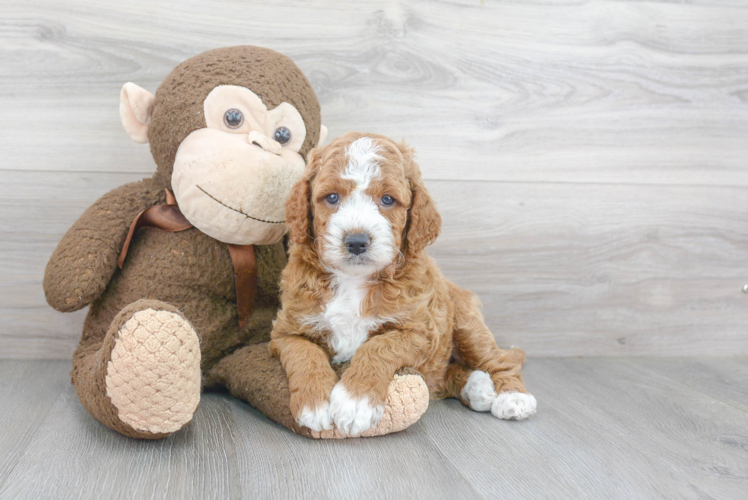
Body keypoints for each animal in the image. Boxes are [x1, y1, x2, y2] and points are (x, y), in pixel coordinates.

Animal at [270, 132, 536, 434]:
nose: (356, 241)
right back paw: (478, 387)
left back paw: (512, 397)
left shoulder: (420, 332)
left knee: (496, 359)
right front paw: (314, 403)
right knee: (445, 377)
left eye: (388, 199)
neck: (353, 280)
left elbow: (379, 346)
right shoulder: (285, 331)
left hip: (468, 324)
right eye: (332, 197)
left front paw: (355, 402)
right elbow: (305, 352)